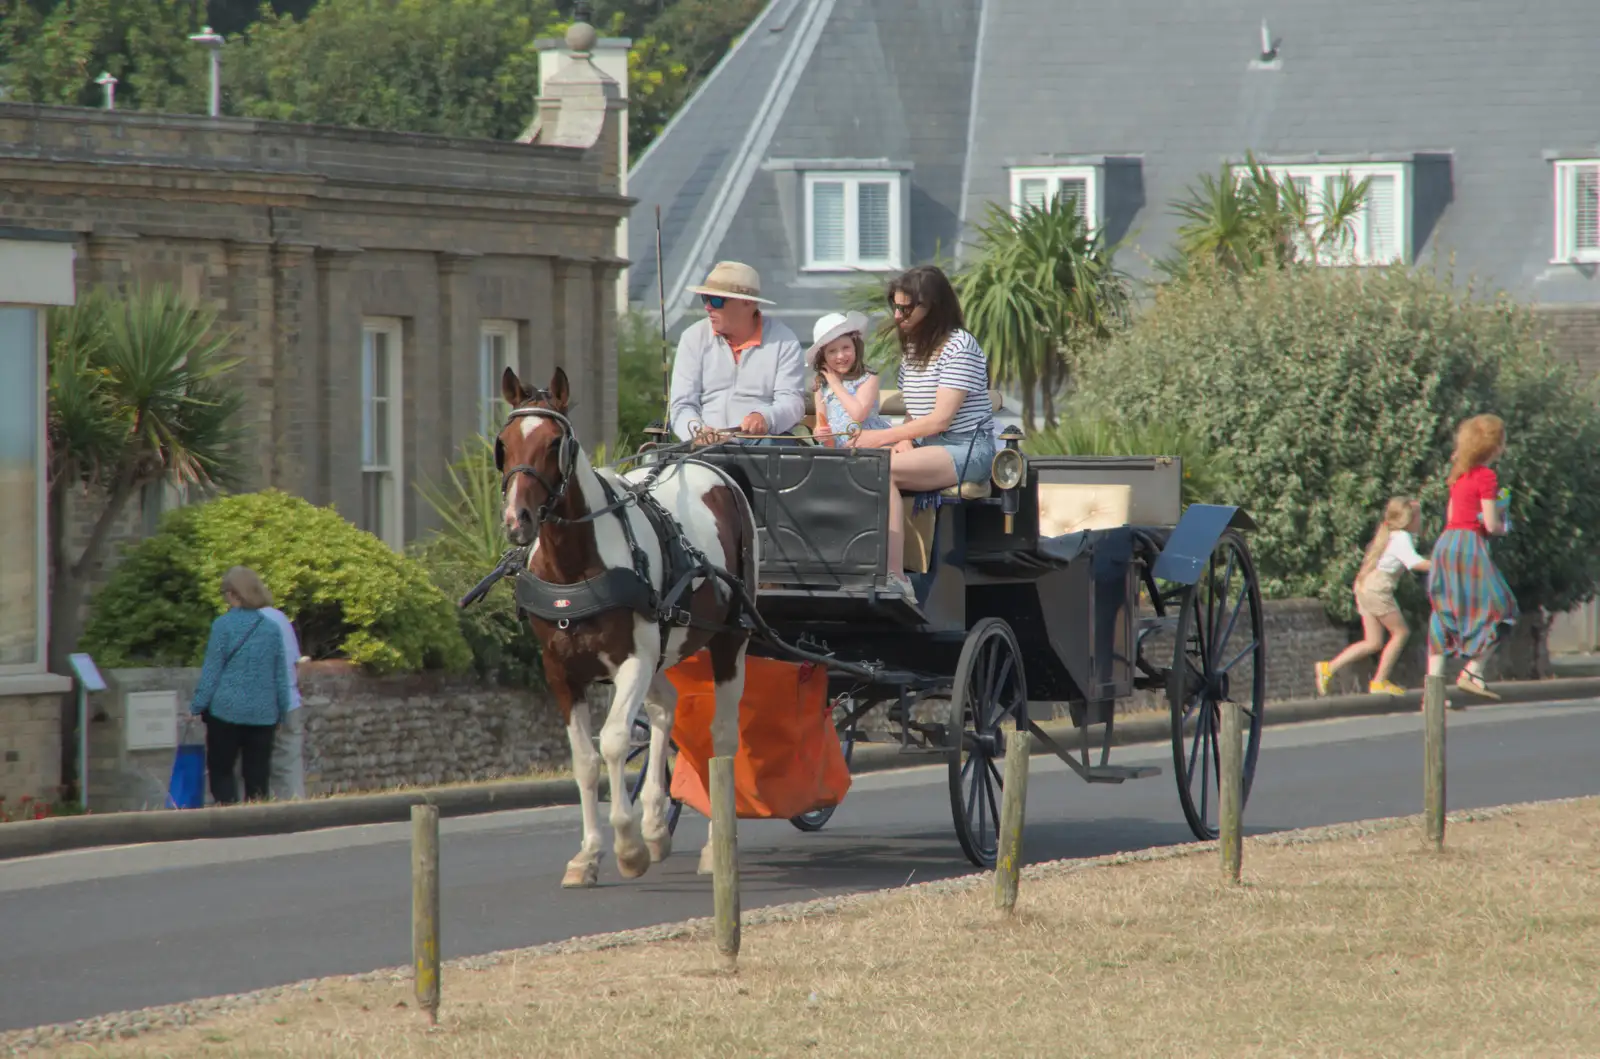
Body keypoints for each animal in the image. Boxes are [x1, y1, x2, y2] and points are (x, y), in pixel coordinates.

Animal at [492, 364, 755, 889]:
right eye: (504, 444)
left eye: (555, 443)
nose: (517, 520)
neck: (574, 567)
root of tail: (711, 467)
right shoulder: (561, 672)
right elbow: (585, 760)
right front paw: (590, 854)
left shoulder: (633, 661)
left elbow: (614, 741)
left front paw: (628, 847)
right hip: (661, 650)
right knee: (665, 709)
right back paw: (655, 822)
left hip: (728, 640)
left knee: (720, 738)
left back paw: (713, 846)